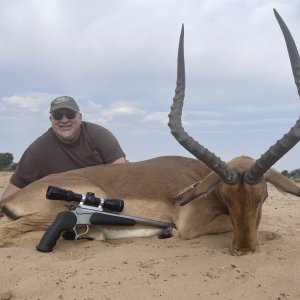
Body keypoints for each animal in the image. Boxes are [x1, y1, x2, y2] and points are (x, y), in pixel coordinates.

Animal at [0, 9, 298, 255]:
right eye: (226, 196)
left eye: (264, 196)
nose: (245, 250)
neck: (199, 181)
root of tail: (13, 198)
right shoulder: (192, 225)